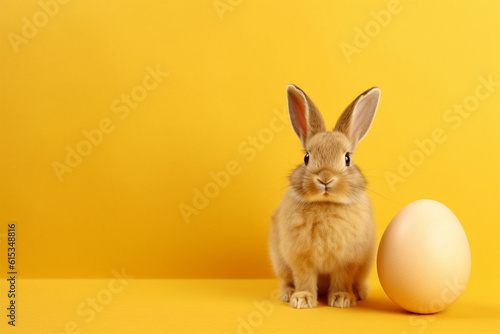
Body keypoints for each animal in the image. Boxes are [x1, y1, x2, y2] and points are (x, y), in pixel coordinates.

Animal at [270, 85, 378, 310]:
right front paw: (302, 299)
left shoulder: (346, 261)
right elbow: (304, 278)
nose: (325, 179)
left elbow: (342, 278)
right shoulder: (300, 258)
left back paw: (358, 293)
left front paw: (342, 299)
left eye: (347, 158)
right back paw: (287, 293)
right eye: (306, 157)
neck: (326, 204)